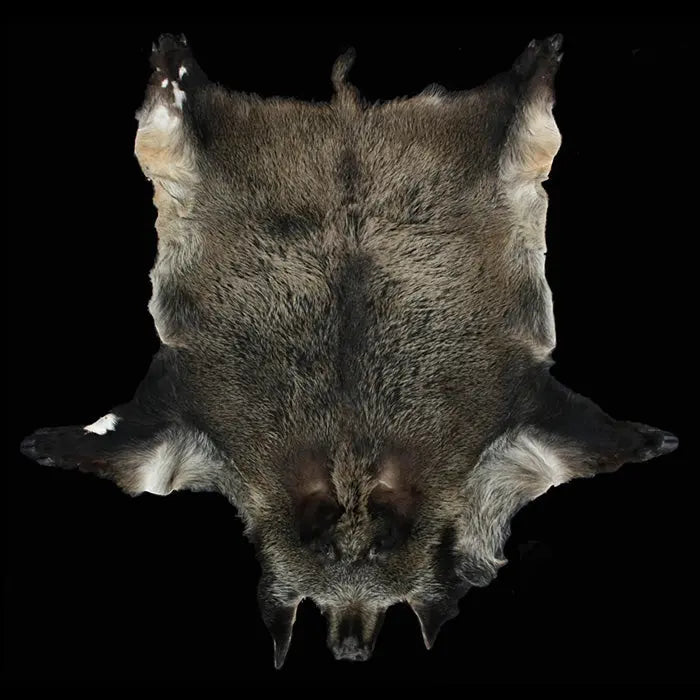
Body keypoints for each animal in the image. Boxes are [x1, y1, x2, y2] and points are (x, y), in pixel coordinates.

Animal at [20, 33, 677, 667]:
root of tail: (347, 114)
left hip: (495, 148)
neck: (353, 460)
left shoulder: (513, 404)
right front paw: (47, 444)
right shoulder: (190, 403)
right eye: (313, 598)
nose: (350, 650)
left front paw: (654, 442)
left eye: (394, 600)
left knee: (520, 109)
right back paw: (175, 70)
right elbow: (134, 458)